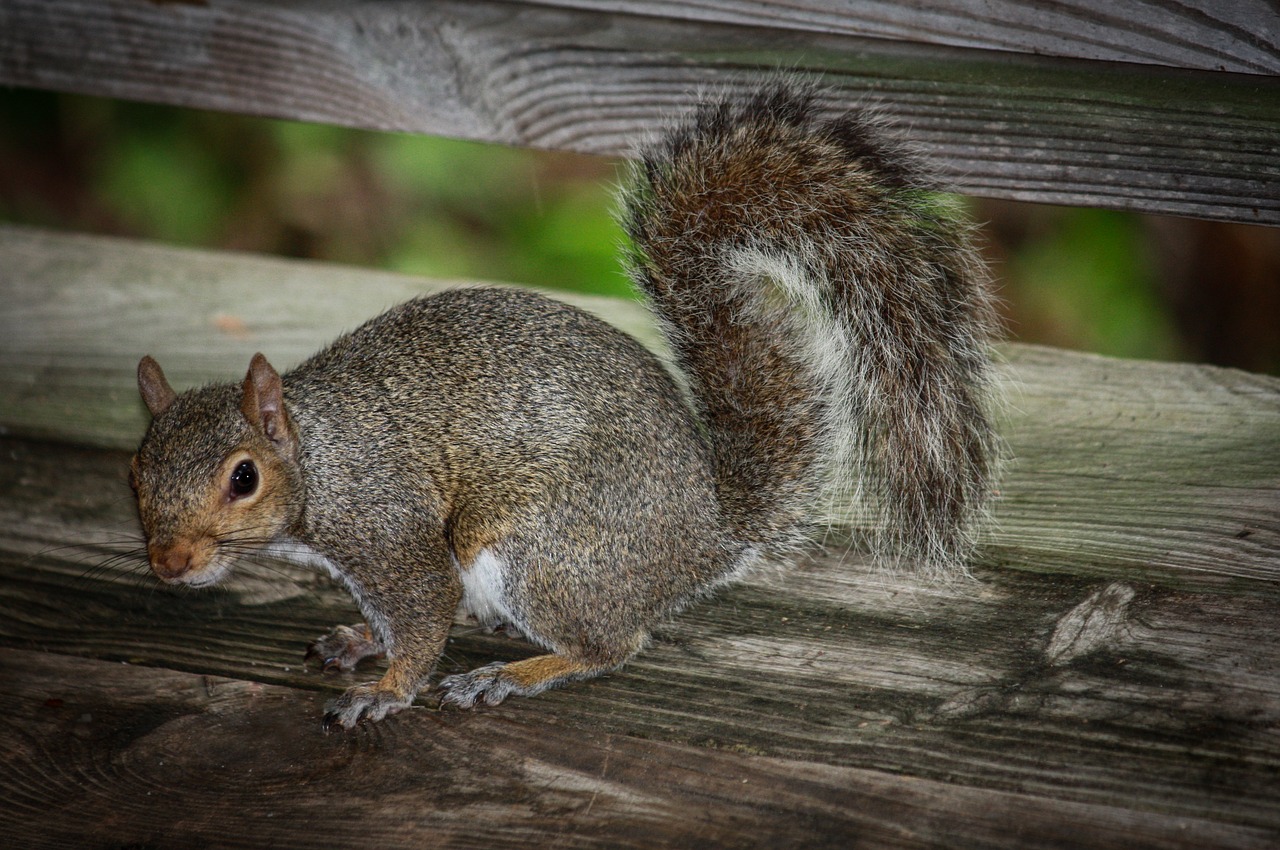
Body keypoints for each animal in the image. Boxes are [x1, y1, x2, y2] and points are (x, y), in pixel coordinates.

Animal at [129, 83, 998, 727]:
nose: (168, 565)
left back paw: (515, 673)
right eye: (135, 474)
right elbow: (395, 620)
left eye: (243, 478)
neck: (319, 454)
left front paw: (387, 691)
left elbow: (422, 614)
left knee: (612, 644)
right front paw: (359, 639)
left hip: (542, 552)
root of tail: (704, 536)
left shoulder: (391, 531)